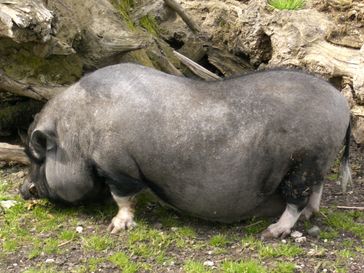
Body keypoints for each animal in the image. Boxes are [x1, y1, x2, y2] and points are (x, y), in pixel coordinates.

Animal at [19, 62, 350, 237]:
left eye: (35, 157)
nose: (22, 190)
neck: (76, 133)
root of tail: (342, 104)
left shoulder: (118, 165)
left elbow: (123, 196)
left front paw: (117, 227)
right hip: (317, 162)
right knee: (316, 191)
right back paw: (309, 216)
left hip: (304, 161)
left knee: (297, 198)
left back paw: (272, 231)